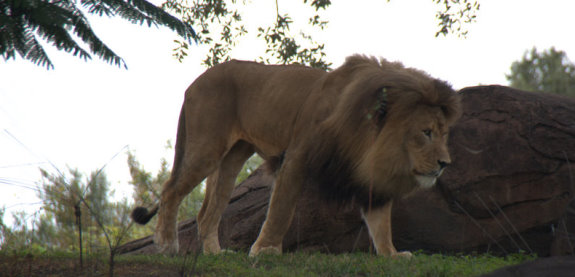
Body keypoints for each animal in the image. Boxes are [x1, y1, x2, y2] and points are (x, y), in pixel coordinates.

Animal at [132, 54, 464, 256]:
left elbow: (381, 223)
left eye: (444, 133)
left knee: (207, 212)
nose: (445, 164)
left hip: (232, 157)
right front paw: (266, 250)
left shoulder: (372, 177)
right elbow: (282, 208)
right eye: (426, 132)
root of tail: (195, 82)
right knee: (171, 191)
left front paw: (393, 255)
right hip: (207, 147)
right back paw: (167, 244)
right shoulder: (297, 157)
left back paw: (216, 253)